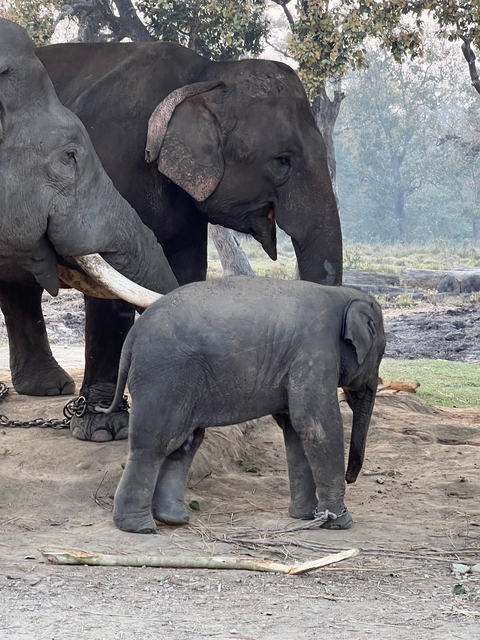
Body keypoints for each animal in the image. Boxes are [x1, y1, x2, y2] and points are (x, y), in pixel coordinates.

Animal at [22, 38, 343, 441]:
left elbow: (188, 273)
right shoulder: (104, 160)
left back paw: (46, 387)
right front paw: (103, 430)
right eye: (282, 160)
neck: (206, 74)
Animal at [98, 277, 386, 534]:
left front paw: (305, 517)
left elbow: (294, 428)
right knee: (152, 446)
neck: (341, 293)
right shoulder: (315, 351)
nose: (351, 477)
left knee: (185, 444)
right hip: (163, 376)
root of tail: (132, 336)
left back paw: (174, 519)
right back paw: (140, 527)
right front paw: (339, 523)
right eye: (382, 353)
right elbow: (316, 425)